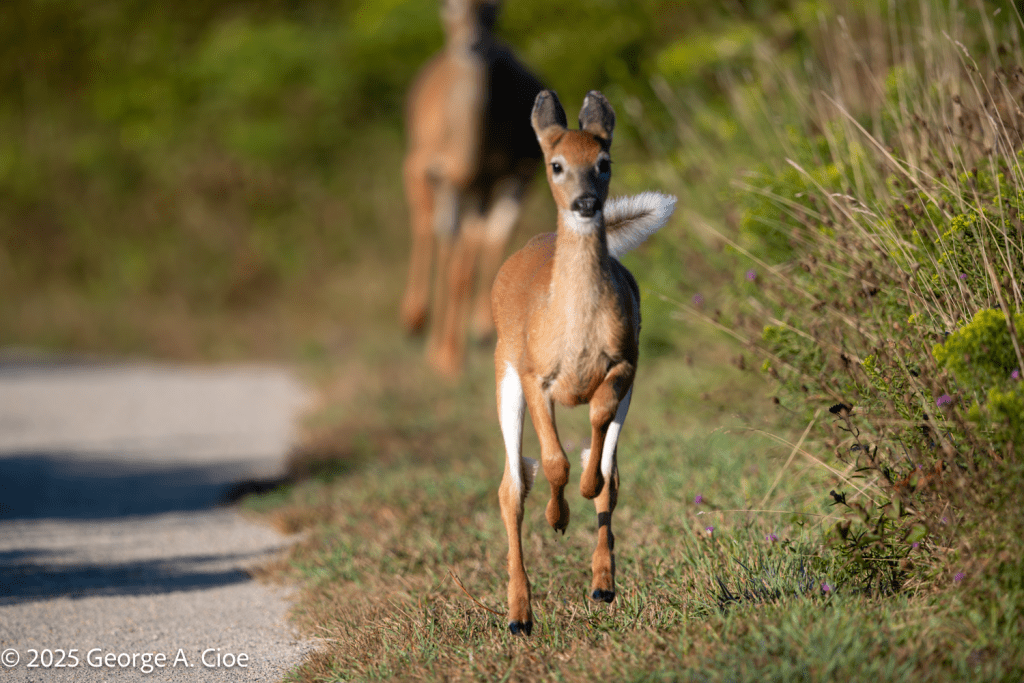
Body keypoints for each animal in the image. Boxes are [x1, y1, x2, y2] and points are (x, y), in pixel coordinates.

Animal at [400, 0, 545, 377]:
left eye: (494, 7)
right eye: (447, 5)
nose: (474, 43)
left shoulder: (502, 175)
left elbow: (477, 249)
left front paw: (458, 350)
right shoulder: (419, 164)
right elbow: (428, 229)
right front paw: (415, 319)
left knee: (479, 239)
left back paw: (471, 334)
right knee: (442, 235)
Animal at [491, 89, 676, 635]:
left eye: (604, 162)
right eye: (556, 165)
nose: (587, 203)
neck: (574, 329)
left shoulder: (625, 364)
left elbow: (598, 452)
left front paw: (583, 492)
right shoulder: (535, 373)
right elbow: (552, 463)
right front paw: (557, 519)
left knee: (611, 477)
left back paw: (602, 584)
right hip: (503, 371)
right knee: (511, 487)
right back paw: (519, 615)